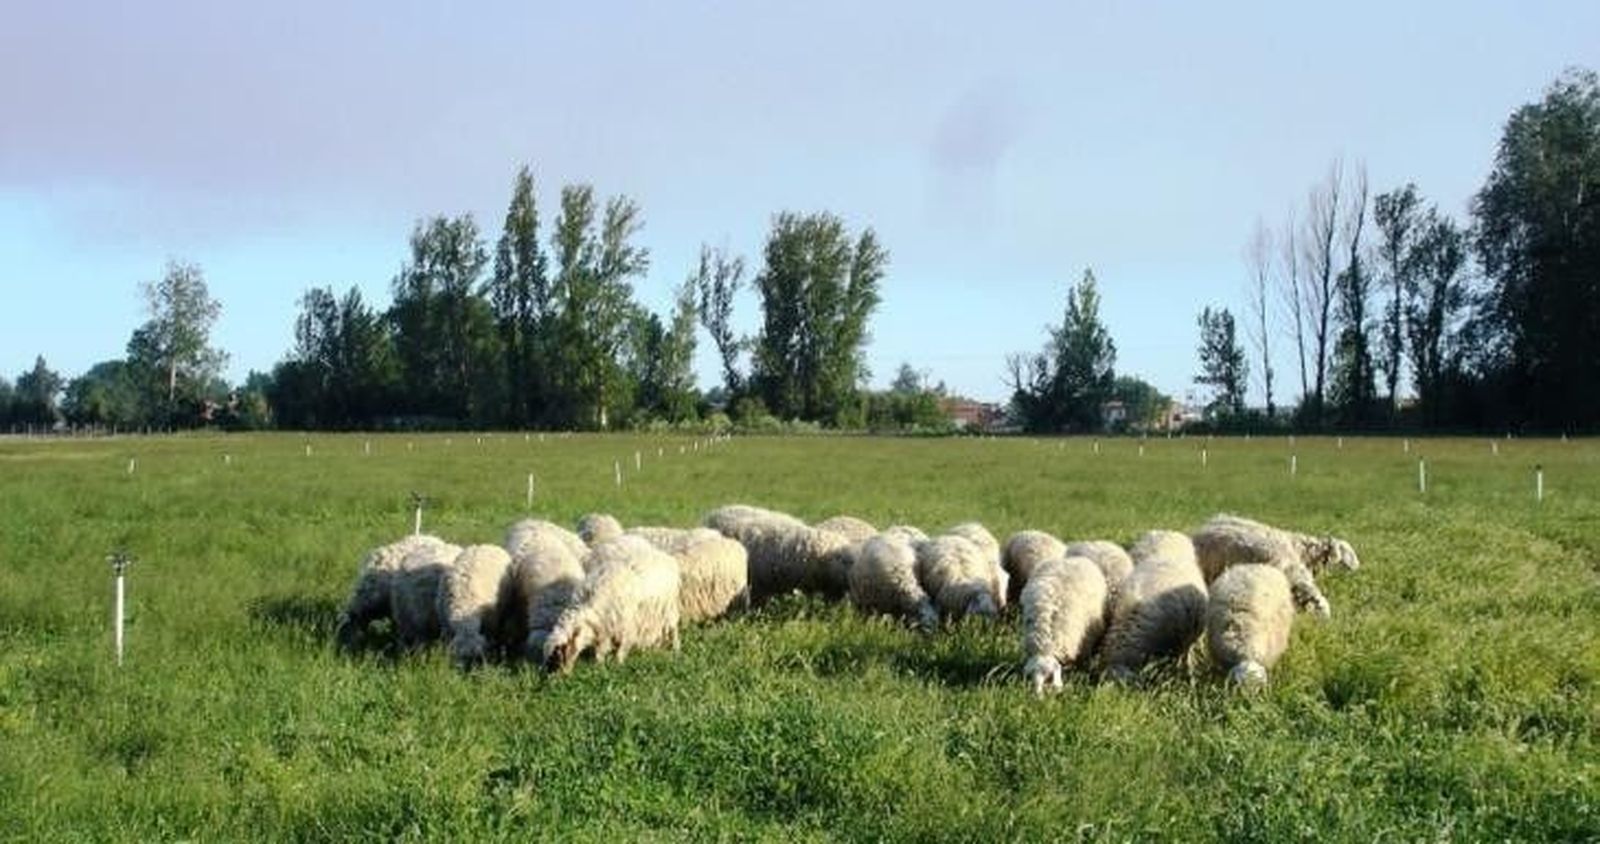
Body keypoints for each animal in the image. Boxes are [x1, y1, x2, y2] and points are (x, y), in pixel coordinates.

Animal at [543, 535, 682, 673]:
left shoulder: (627, 626)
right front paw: (599, 665)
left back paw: (675, 648)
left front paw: (617, 664)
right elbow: (600, 650)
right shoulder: (604, 628)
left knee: (673, 628)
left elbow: (621, 647)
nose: (556, 677)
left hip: (667, 610)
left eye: (559, 652)